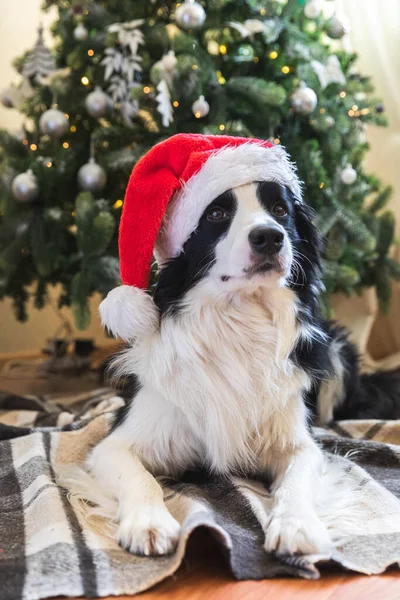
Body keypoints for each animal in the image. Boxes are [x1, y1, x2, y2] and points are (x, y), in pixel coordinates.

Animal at [72, 136, 400, 556]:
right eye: (215, 214)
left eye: (281, 210)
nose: (270, 236)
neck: (239, 320)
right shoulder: (117, 442)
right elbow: (140, 478)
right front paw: (148, 522)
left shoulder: (300, 443)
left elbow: (296, 480)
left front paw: (296, 525)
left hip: (336, 349)